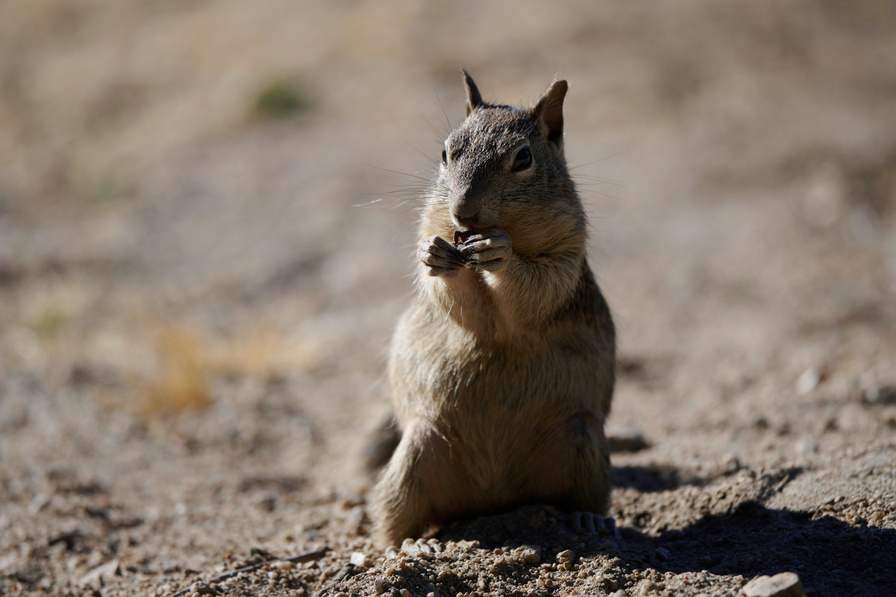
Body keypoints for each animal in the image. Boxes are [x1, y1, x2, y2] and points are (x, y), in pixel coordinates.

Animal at [371, 72, 616, 547]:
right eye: (445, 152)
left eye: (523, 158)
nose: (463, 212)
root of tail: (494, 501)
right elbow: (462, 307)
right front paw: (435, 255)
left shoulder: (565, 255)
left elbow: (533, 291)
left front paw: (500, 254)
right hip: (413, 457)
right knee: (394, 519)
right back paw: (409, 544)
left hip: (584, 445)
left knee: (584, 496)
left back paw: (586, 520)